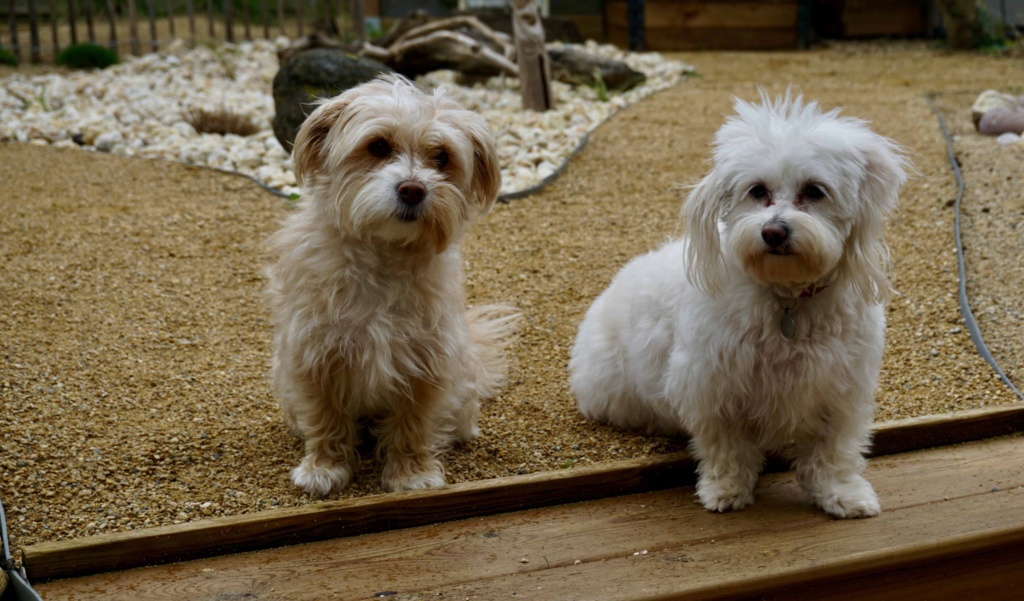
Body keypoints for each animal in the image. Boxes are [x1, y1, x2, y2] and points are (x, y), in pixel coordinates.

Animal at [266, 75, 516, 495]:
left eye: (441, 157)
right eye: (379, 146)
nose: (413, 189)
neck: (383, 256)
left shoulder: (425, 361)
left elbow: (413, 423)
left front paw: (412, 473)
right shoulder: (313, 356)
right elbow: (325, 417)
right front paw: (324, 468)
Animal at [573, 92, 909, 518]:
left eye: (815, 191)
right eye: (757, 190)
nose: (773, 231)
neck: (786, 300)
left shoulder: (840, 390)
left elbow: (834, 452)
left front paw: (843, 494)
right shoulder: (713, 386)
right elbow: (726, 448)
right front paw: (726, 489)